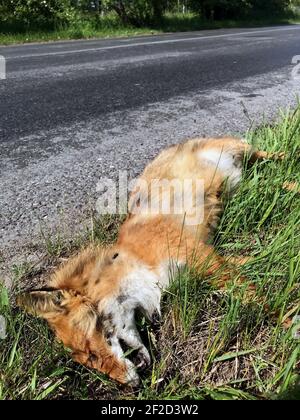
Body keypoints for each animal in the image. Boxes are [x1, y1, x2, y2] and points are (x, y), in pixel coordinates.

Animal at [17, 136, 296, 386]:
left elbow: (260, 301)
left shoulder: (202, 257)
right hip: (243, 182)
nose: (129, 386)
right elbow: (252, 266)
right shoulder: (208, 260)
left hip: (244, 151)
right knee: (274, 180)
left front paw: (289, 326)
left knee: (273, 157)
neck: (137, 262)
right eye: (87, 361)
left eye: (90, 353)